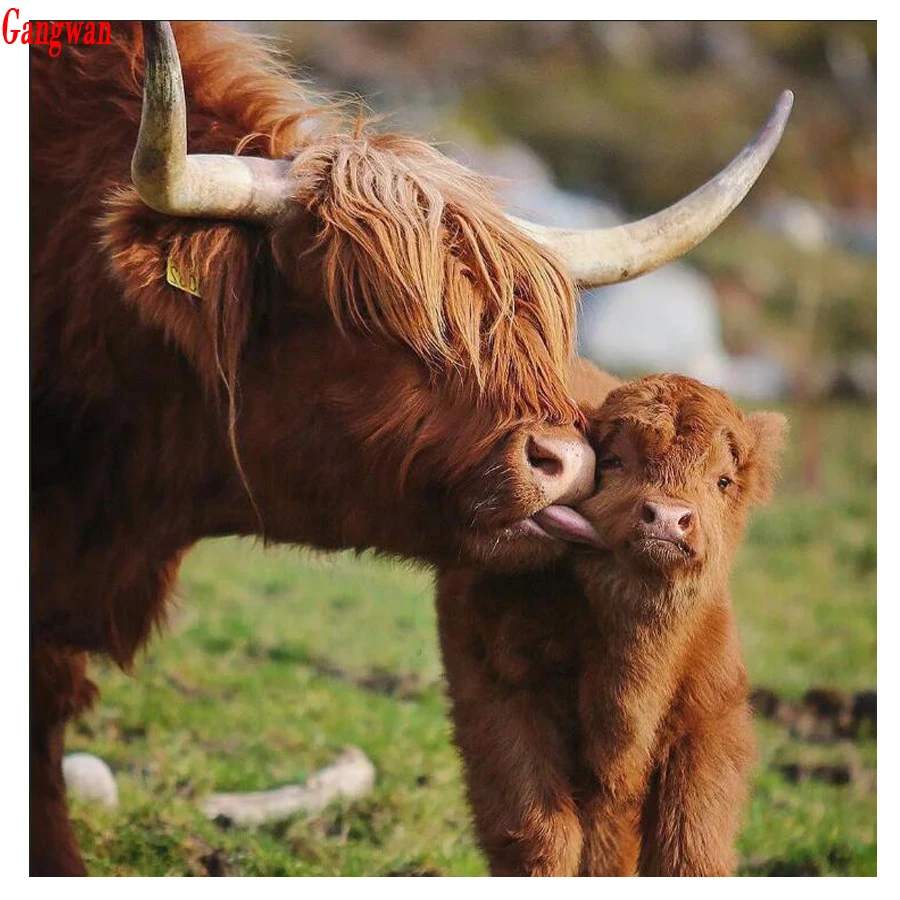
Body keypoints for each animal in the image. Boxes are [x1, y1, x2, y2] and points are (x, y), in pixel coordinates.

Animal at [436, 369, 786, 875]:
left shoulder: (711, 720)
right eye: (615, 461)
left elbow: (690, 848)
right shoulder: (501, 699)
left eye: (722, 480)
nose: (668, 518)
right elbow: (540, 836)